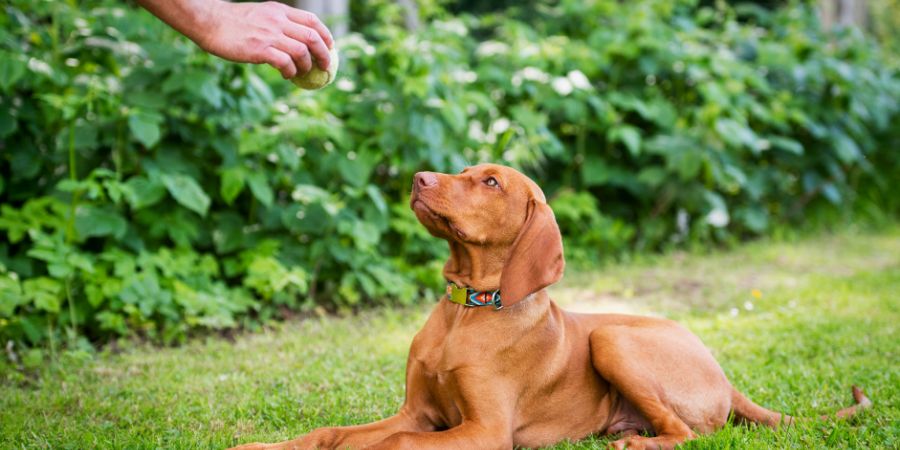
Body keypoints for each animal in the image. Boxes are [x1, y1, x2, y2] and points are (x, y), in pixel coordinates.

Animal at [234, 163, 872, 448]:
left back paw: (632, 445)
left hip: (612, 338)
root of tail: (724, 376)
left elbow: (396, 445)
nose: (418, 177)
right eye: (463, 170)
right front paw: (265, 446)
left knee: (689, 435)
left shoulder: (484, 431)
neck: (469, 307)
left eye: (490, 182)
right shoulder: (418, 411)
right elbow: (332, 432)